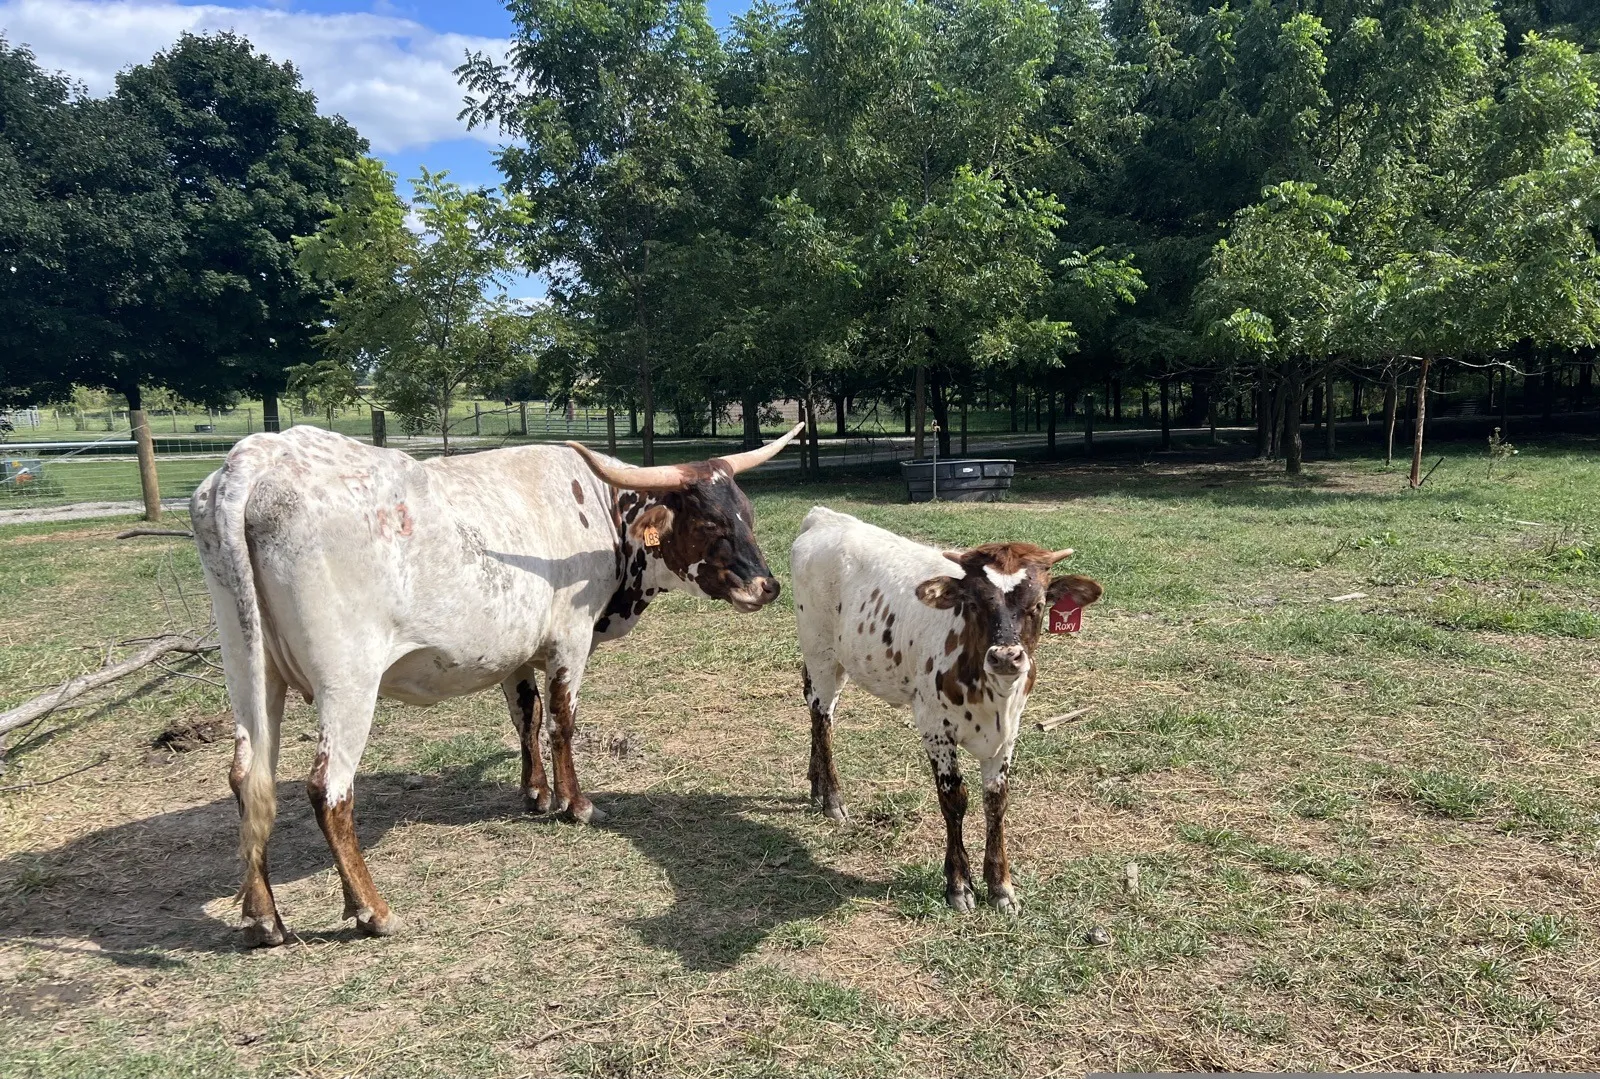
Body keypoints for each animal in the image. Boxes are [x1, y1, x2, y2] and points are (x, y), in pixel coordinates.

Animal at [190, 422, 802, 946]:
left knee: (247, 779)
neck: (601, 512)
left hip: (248, 667)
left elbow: (527, 716)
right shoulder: (569, 638)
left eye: (747, 514)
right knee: (328, 789)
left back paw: (262, 919)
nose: (768, 587)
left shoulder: (517, 651)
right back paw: (373, 911)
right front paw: (576, 804)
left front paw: (536, 795)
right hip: (348, 680)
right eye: (711, 524)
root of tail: (255, 461)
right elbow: (562, 721)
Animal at [789, 507, 1102, 913]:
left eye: (1037, 606)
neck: (993, 697)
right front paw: (959, 884)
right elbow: (954, 799)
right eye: (975, 604)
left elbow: (996, 800)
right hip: (820, 650)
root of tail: (824, 516)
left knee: (814, 704)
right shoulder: (935, 727)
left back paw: (816, 786)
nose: (1005, 657)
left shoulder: (1009, 733)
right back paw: (832, 799)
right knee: (821, 714)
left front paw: (1000, 886)